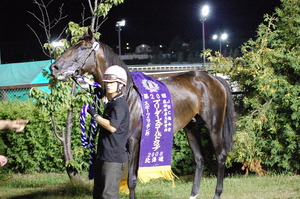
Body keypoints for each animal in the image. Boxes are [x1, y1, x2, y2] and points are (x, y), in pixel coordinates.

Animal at [50, 29, 236, 199]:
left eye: (82, 47)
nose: (55, 67)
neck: (127, 94)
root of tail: (213, 78)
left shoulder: (134, 141)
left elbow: (132, 180)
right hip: (191, 127)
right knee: (199, 158)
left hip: (214, 126)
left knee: (221, 156)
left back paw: (217, 193)